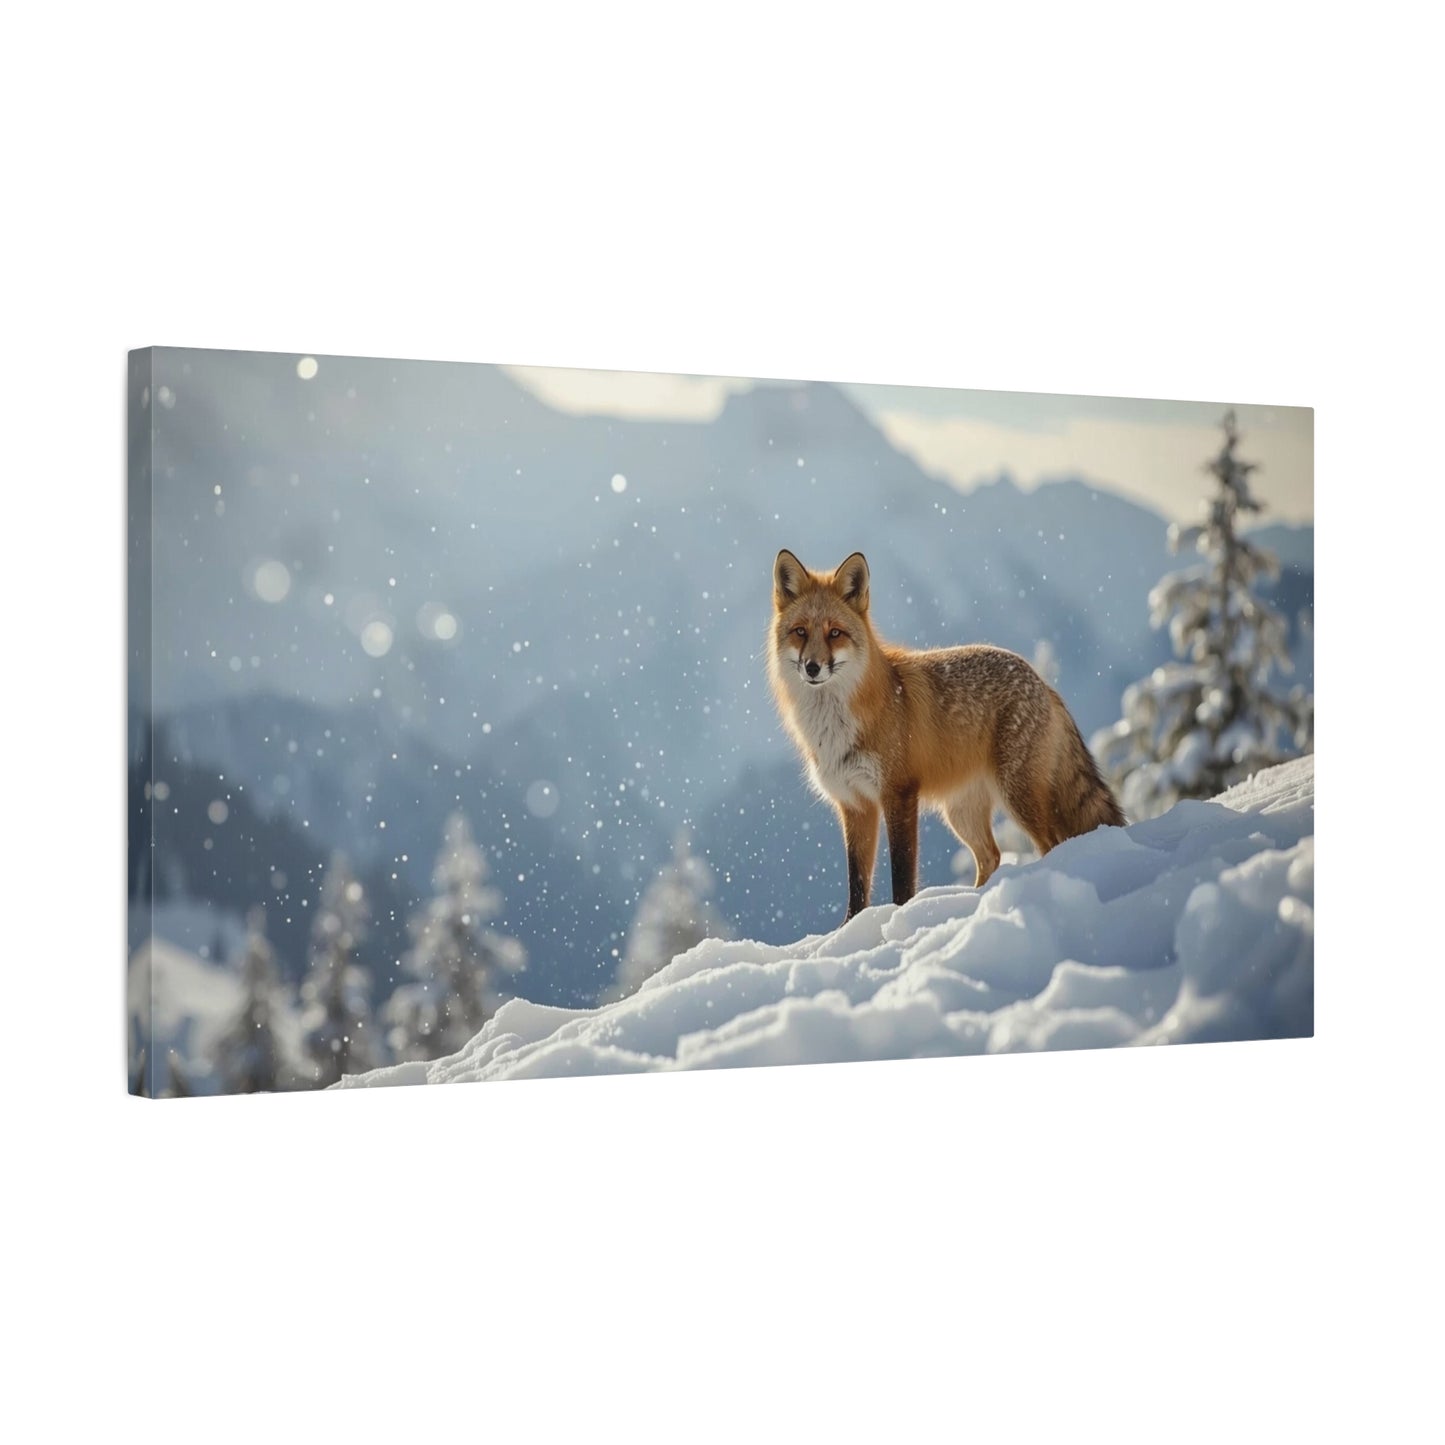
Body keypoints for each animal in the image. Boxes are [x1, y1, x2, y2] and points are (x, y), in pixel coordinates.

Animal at [768, 549, 1125, 921]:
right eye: (800, 631)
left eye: (835, 633)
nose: (812, 667)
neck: (836, 726)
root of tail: (1042, 681)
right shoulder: (855, 805)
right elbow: (857, 887)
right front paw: (850, 930)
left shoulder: (899, 794)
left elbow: (902, 879)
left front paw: (900, 921)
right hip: (962, 813)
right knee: (991, 856)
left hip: (1018, 796)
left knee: (1051, 844)